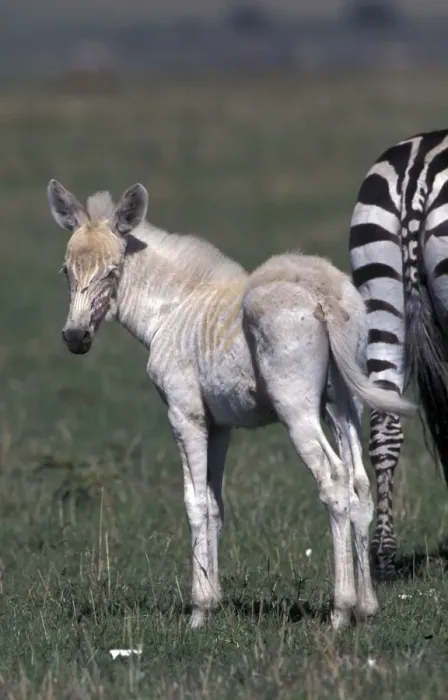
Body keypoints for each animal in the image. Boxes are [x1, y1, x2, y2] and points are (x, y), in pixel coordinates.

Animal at [47, 179, 414, 629]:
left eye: (112, 272)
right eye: (67, 271)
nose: (75, 338)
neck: (172, 309)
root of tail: (324, 292)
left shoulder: (183, 413)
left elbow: (194, 502)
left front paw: (199, 610)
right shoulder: (219, 425)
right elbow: (216, 505)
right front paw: (214, 601)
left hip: (297, 408)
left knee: (334, 481)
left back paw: (340, 610)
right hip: (342, 404)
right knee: (359, 482)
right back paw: (367, 607)